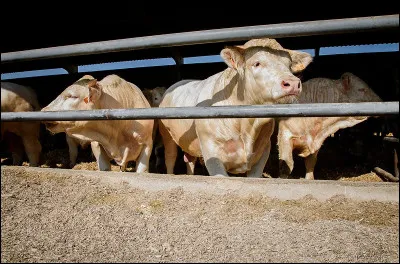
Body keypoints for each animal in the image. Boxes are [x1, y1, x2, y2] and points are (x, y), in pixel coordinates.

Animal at [159, 37, 312, 177]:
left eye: (289, 65)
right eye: (257, 63)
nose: (292, 83)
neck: (248, 125)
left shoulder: (263, 151)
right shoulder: (210, 150)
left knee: (190, 161)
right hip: (166, 134)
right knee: (170, 158)